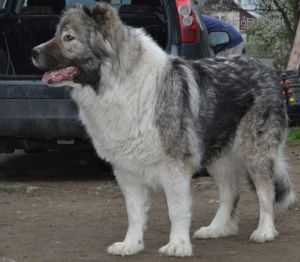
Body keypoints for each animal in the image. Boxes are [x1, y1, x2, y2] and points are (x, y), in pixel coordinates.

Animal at [32, 2, 296, 258]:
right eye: (56, 34)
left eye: (68, 37)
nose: (33, 52)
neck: (119, 83)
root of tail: (266, 69)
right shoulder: (127, 171)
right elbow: (134, 212)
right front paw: (131, 244)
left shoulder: (174, 167)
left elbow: (177, 210)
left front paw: (178, 245)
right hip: (218, 157)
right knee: (230, 193)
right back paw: (217, 228)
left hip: (255, 153)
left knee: (265, 191)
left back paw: (265, 230)